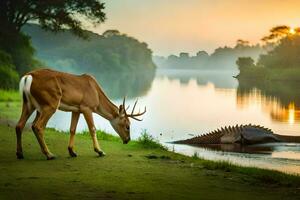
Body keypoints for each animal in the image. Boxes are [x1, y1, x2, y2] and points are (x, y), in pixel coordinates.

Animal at [15, 68, 146, 159]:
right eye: (127, 125)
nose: (128, 140)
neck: (97, 96)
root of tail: (28, 77)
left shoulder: (76, 109)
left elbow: (72, 129)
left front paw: (72, 151)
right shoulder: (86, 107)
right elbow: (92, 129)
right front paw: (100, 151)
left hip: (30, 104)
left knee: (20, 125)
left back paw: (20, 154)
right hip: (50, 103)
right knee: (38, 126)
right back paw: (49, 154)